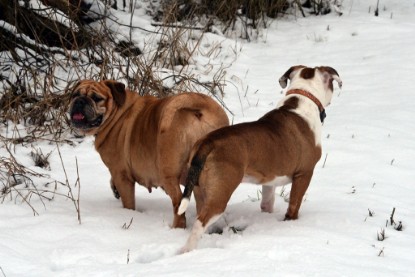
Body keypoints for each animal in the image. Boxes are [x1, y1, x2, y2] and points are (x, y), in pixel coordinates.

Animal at [69, 79, 229, 226]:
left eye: (97, 98)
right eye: (75, 94)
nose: (80, 101)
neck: (117, 112)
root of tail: (198, 106)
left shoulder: (121, 174)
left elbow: (128, 203)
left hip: (169, 175)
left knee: (178, 204)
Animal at [177, 65, 342, 252]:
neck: (303, 97)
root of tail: (207, 142)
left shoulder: (269, 182)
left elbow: (267, 203)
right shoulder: (304, 174)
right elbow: (294, 205)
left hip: (200, 189)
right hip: (220, 194)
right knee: (200, 223)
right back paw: (187, 251)